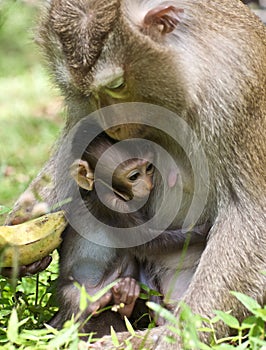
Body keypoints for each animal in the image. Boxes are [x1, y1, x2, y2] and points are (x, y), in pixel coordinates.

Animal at [5, 0, 264, 348]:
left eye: (116, 85)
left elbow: (248, 216)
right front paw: (24, 225)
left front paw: (174, 336)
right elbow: (76, 145)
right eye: (82, 92)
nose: (111, 122)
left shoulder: (237, 96)